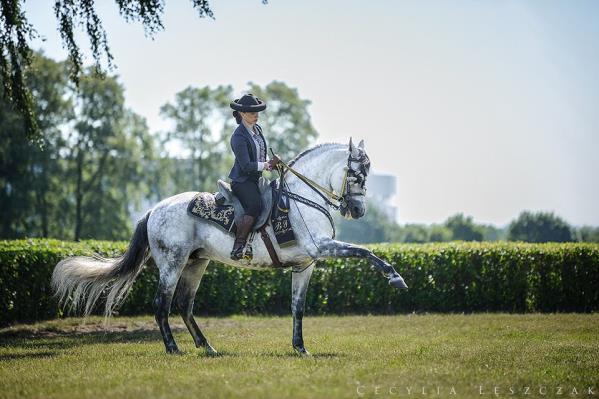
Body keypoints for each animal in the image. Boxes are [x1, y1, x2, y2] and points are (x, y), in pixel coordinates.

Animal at [51, 138, 408, 356]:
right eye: (357, 174)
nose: (358, 210)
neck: (303, 198)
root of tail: (153, 209)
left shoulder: (306, 264)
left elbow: (298, 308)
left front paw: (300, 348)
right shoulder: (320, 247)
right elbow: (364, 252)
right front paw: (395, 277)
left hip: (197, 263)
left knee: (184, 305)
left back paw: (206, 347)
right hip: (172, 263)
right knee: (162, 304)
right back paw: (173, 348)